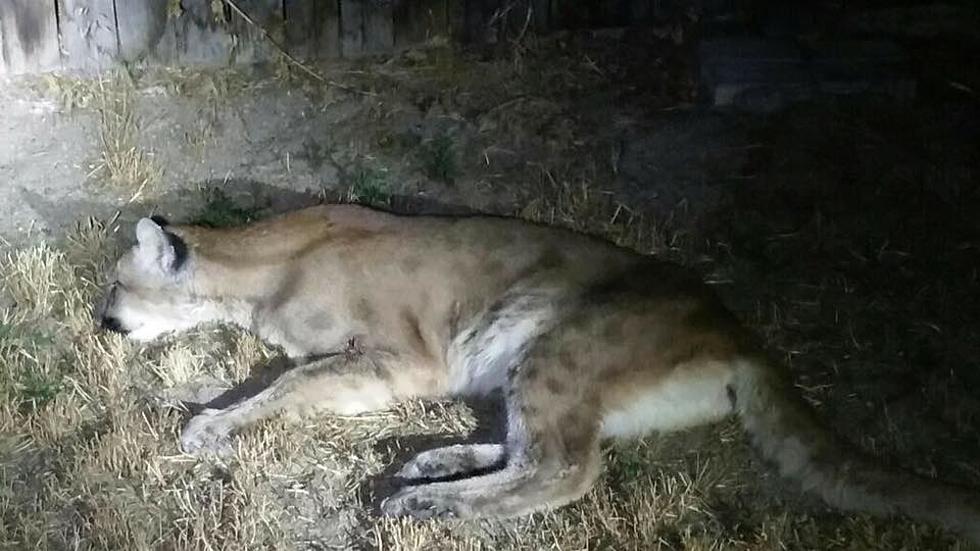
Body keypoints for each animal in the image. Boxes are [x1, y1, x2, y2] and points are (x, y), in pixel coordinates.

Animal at [94, 204, 980, 544]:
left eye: (117, 283)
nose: (101, 320)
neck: (261, 264)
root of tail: (738, 327)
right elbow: (266, 374)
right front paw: (185, 394)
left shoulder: (395, 358)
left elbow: (284, 384)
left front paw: (209, 423)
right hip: (526, 362)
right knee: (533, 447)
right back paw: (429, 462)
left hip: (559, 340)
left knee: (562, 466)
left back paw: (423, 502)